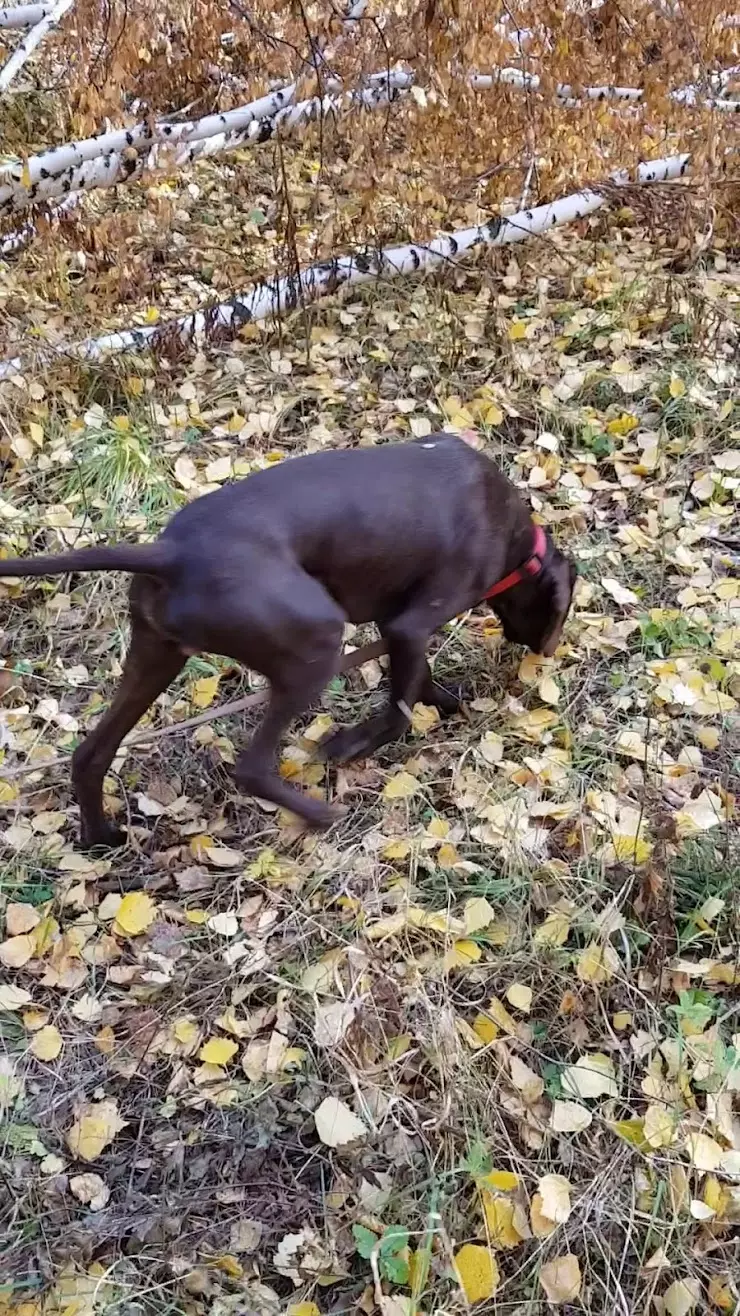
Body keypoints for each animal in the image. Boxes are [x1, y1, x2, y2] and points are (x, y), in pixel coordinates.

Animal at [0, 431, 574, 842]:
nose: (543, 656)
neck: (516, 538)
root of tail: (172, 553)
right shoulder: (408, 624)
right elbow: (398, 710)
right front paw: (352, 744)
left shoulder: (400, 626)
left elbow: (416, 681)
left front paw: (446, 703)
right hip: (314, 645)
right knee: (252, 768)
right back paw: (323, 816)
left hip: (155, 656)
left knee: (89, 754)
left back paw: (100, 838)